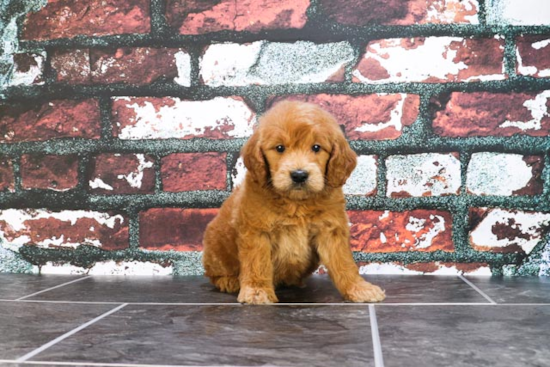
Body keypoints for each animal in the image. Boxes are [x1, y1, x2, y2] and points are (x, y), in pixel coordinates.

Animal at [201, 100, 386, 304]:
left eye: (316, 147)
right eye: (280, 148)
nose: (299, 175)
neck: (296, 203)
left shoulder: (331, 230)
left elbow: (344, 262)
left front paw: (358, 288)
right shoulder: (256, 231)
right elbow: (257, 262)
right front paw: (257, 291)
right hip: (215, 248)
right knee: (215, 274)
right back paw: (229, 281)